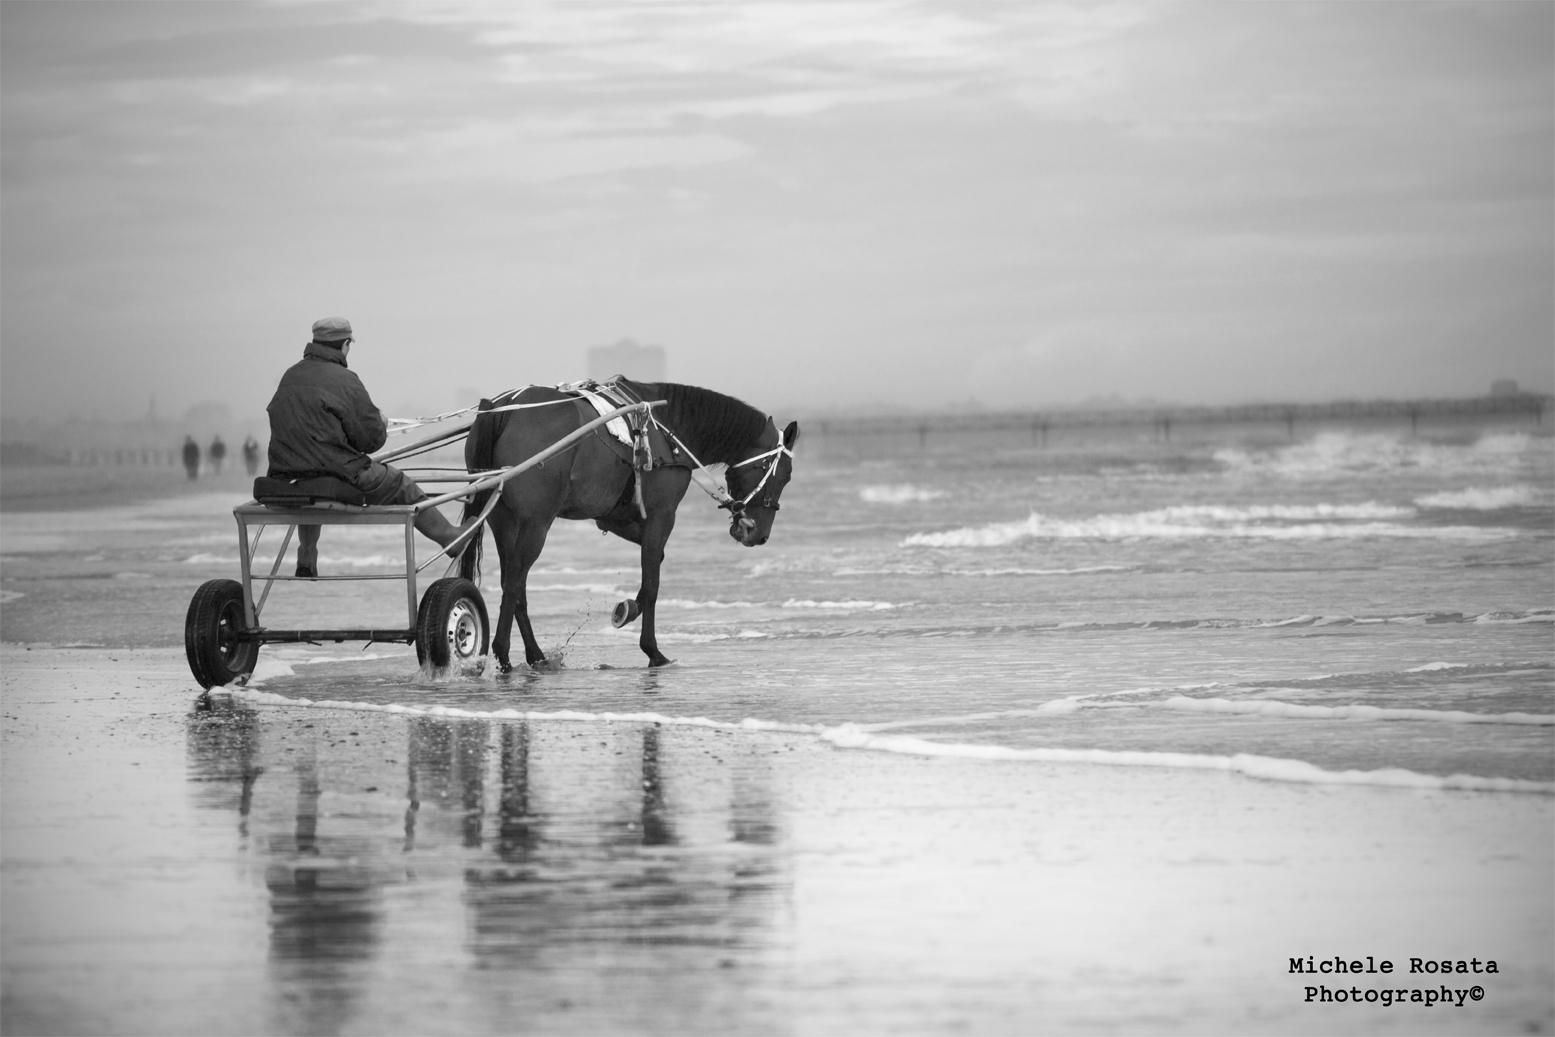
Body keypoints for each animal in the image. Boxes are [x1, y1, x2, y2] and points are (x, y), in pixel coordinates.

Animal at [458, 379, 799, 670]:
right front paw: (652, 649)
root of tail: (502, 407)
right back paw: (503, 653)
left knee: (514, 585)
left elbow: (654, 566)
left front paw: (630, 609)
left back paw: (534, 655)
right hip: (536, 524)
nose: (758, 534)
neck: (667, 427)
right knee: (515, 582)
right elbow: (652, 583)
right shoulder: (661, 516)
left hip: (504, 522)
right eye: (784, 475)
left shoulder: (617, 518)